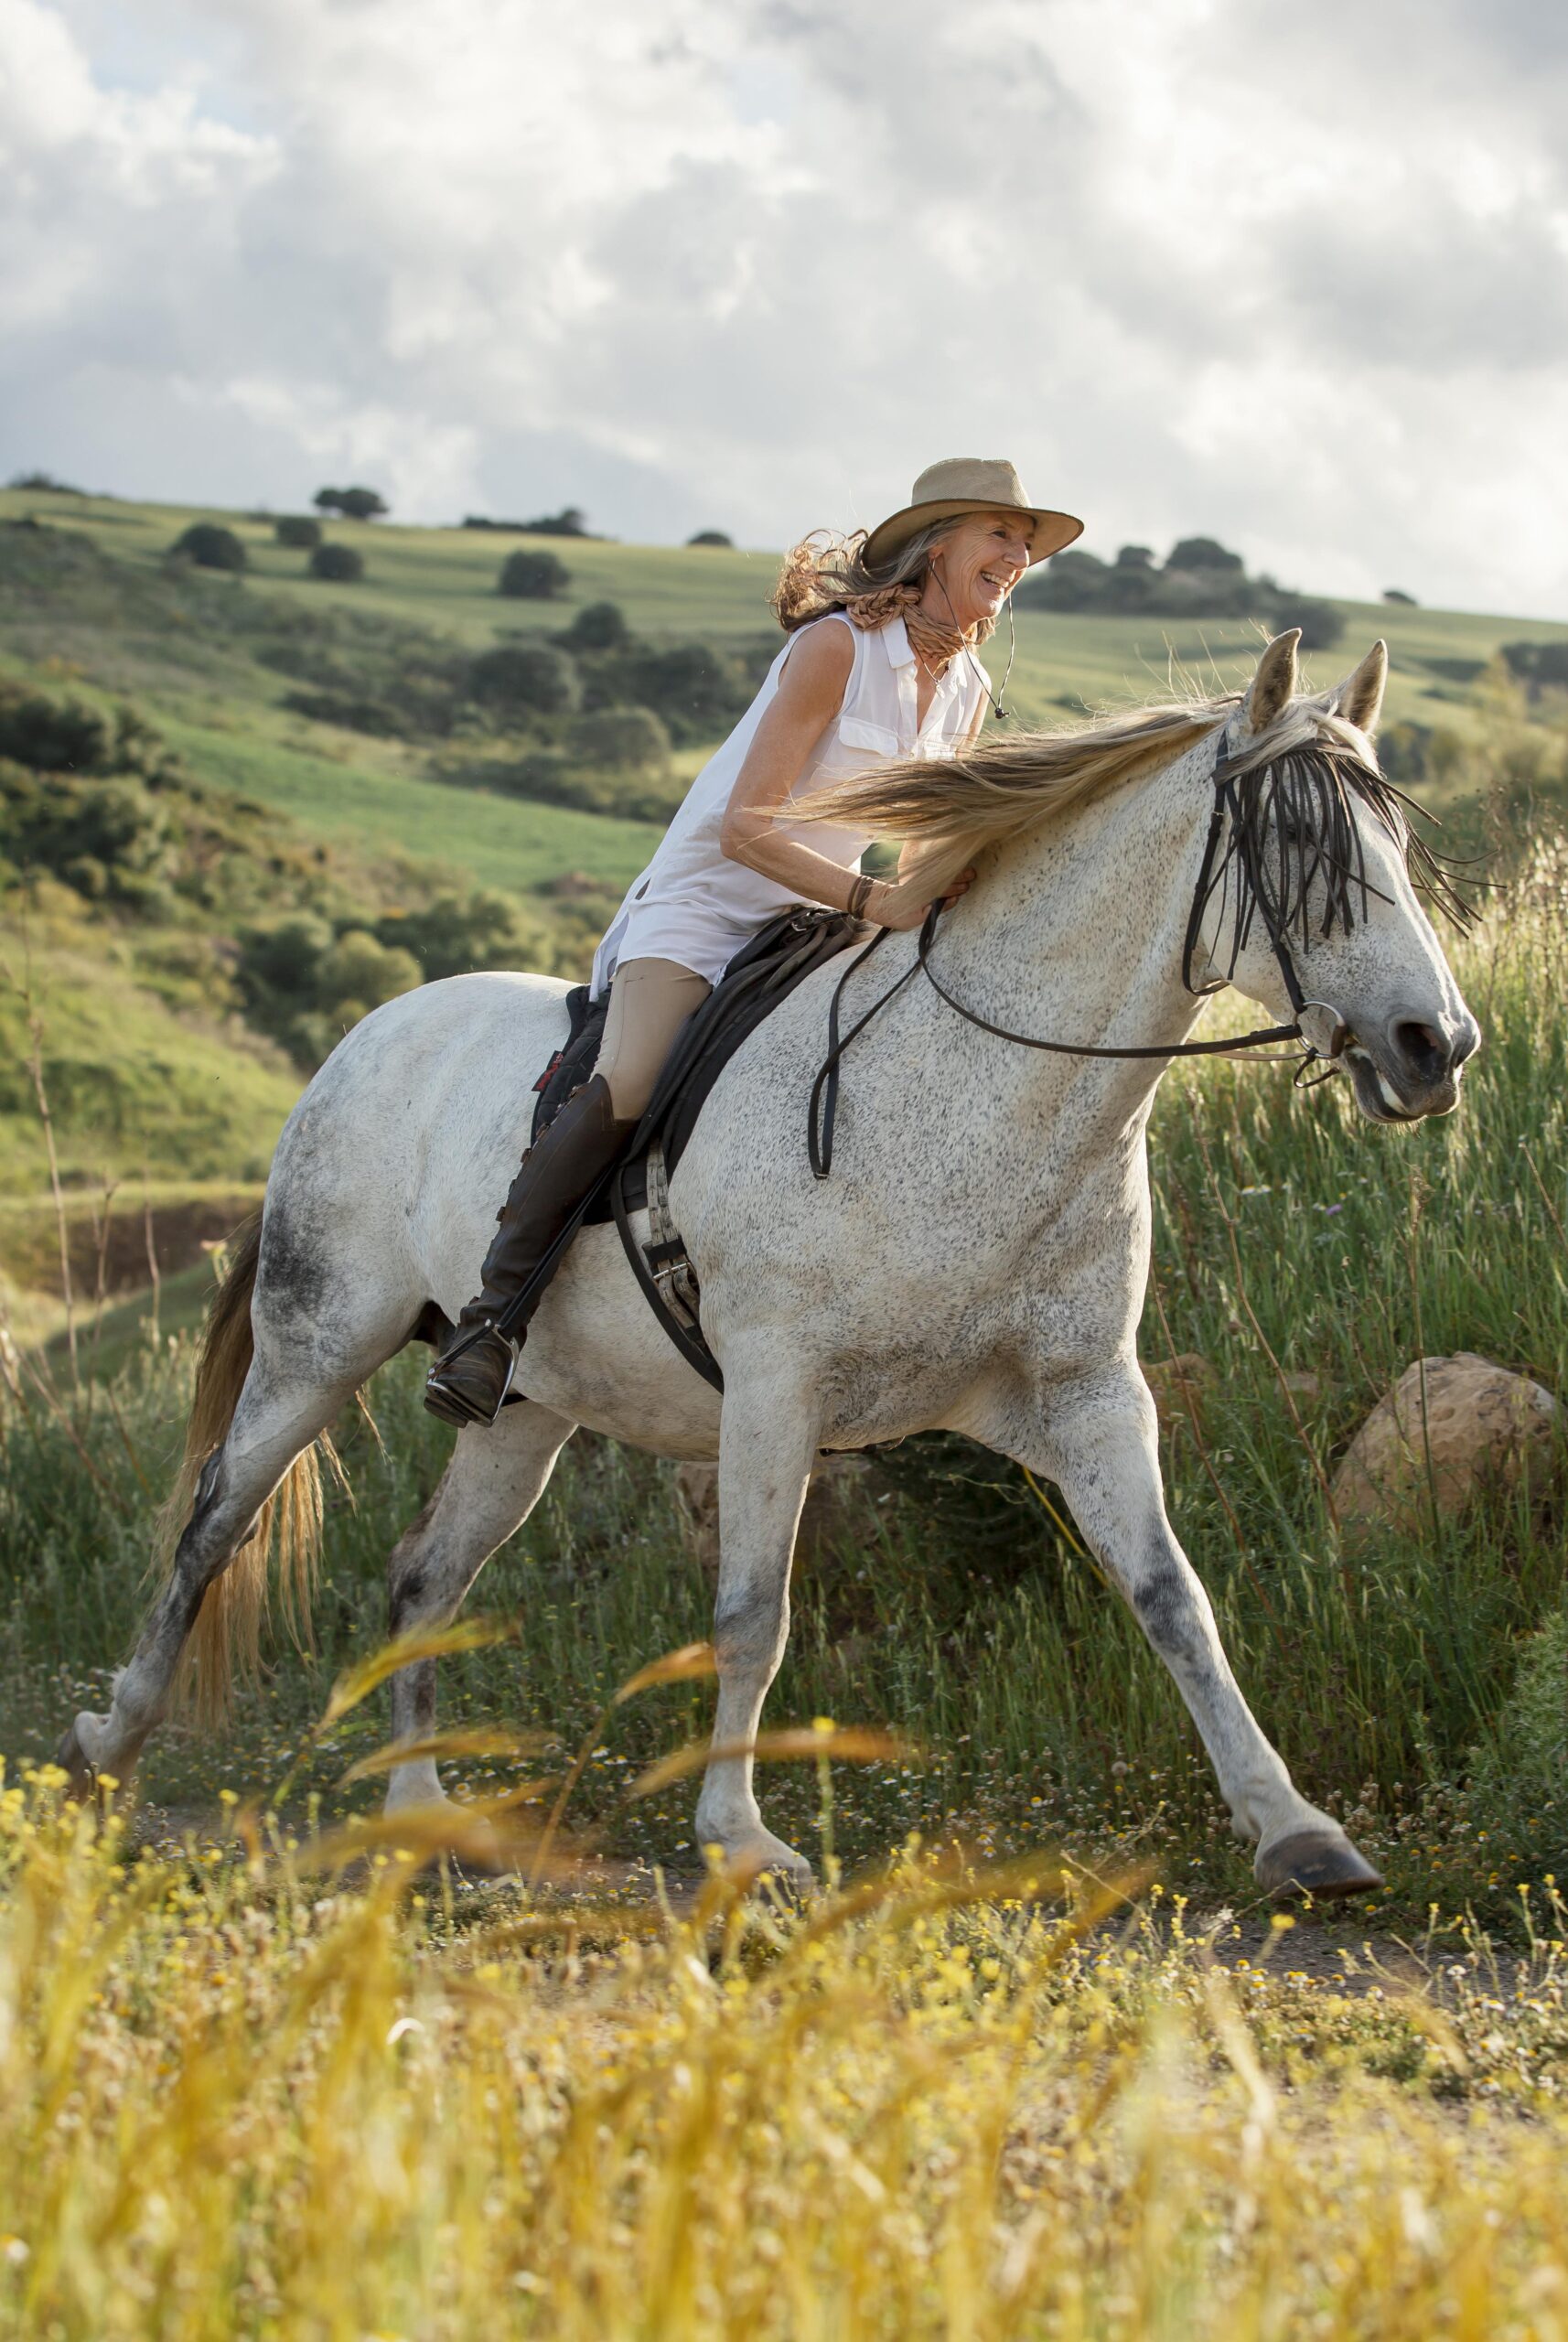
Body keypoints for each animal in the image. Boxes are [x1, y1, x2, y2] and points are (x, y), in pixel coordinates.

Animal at [61, 632, 1478, 1892]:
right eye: (1300, 847)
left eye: (1398, 852)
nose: (1435, 1046)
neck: (986, 1095)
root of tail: (364, 1036)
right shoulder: (775, 1389)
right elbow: (754, 1613)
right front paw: (738, 1837)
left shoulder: (1082, 1394)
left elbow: (1172, 1597)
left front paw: (1295, 1831)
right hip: (317, 1345)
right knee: (210, 1523)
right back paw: (109, 1745)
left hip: (525, 1410)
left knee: (424, 1573)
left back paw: (420, 1810)